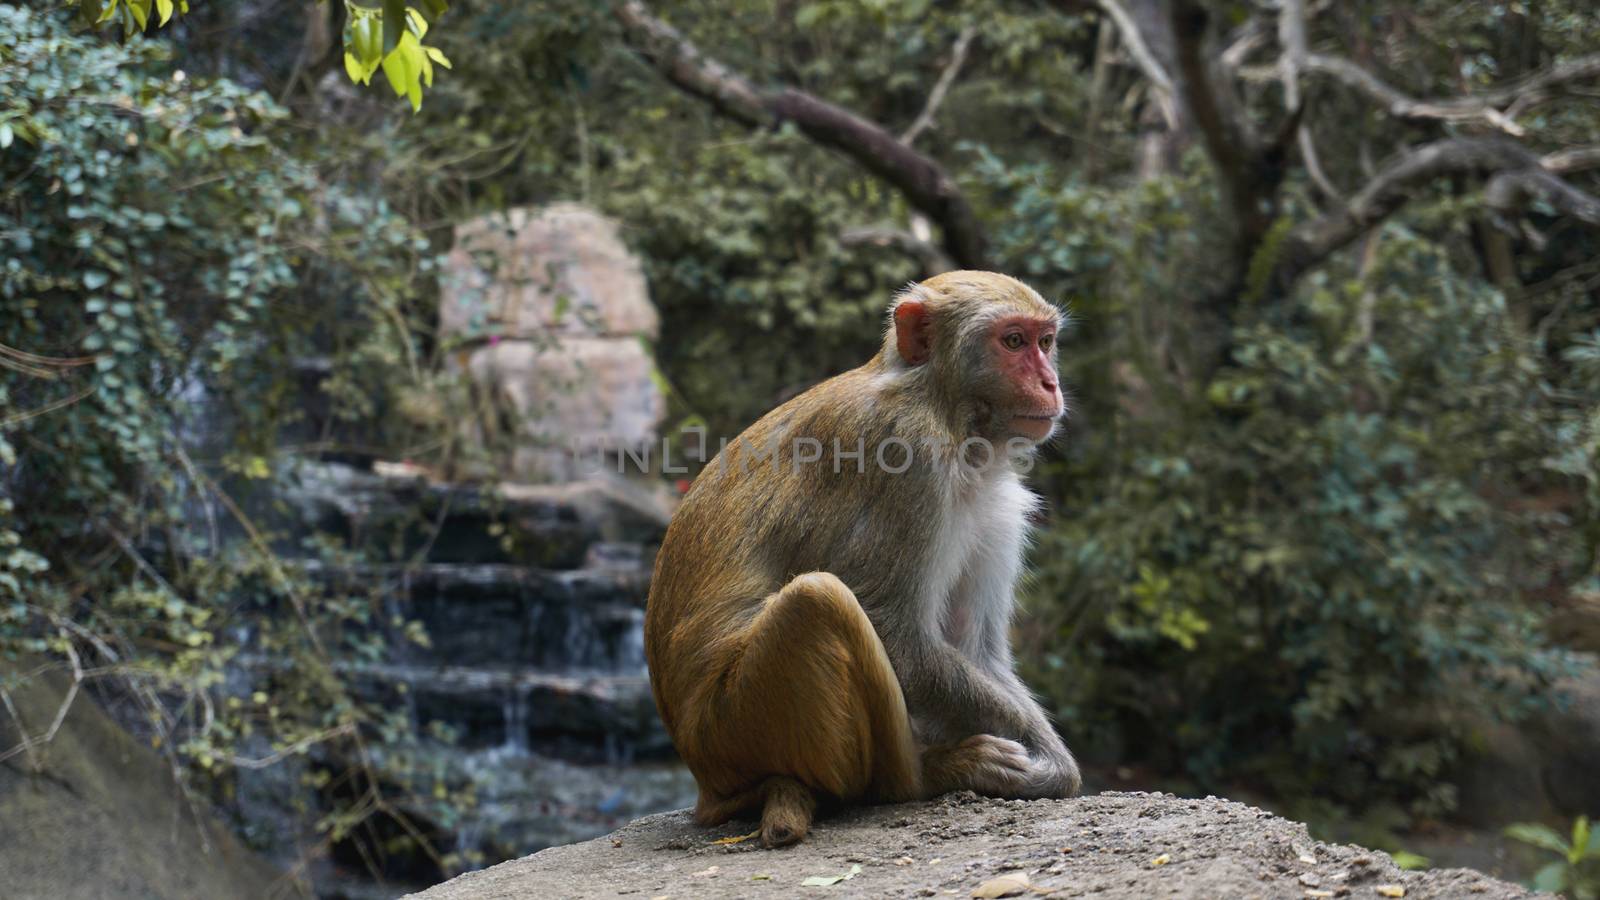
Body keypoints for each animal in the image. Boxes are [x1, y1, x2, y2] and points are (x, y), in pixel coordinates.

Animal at [643, 269, 1081, 845]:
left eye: (1045, 342)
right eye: (1012, 341)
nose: (1051, 383)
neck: (946, 409)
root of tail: (705, 782)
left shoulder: (998, 507)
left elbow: (974, 648)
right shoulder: (906, 455)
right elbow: (894, 632)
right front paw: (1057, 765)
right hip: (733, 726)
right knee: (818, 600)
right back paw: (926, 775)